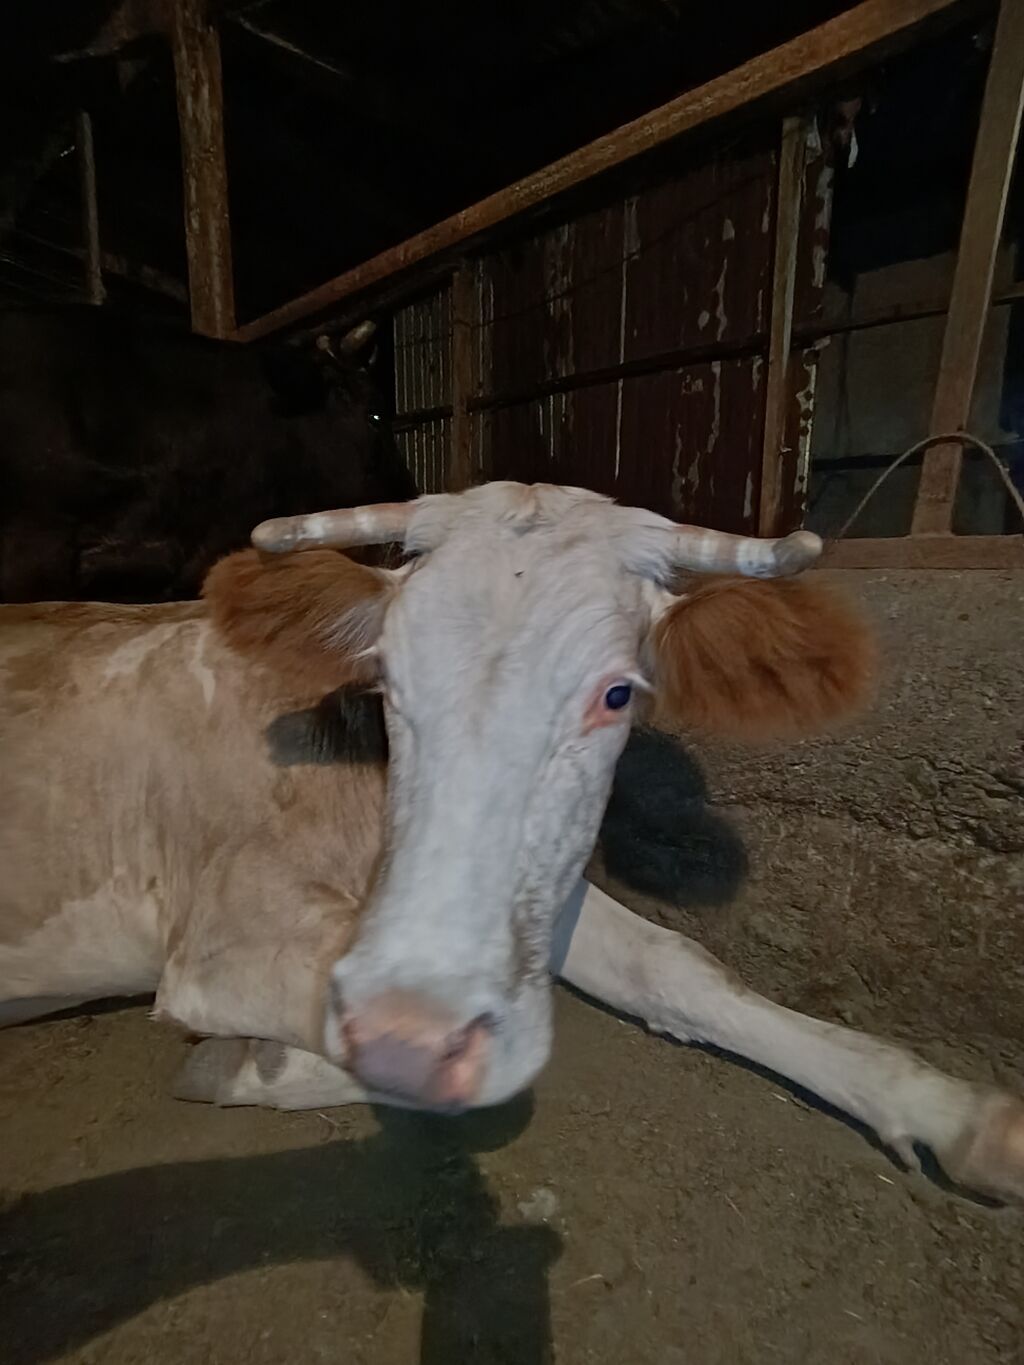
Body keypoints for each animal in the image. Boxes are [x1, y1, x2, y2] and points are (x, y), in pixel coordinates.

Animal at [1, 481, 1021, 1204]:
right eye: (389, 675)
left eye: (617, 691)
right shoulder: (229, 938)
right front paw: (248, 1064)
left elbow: (674, 964)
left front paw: (953, 1111)